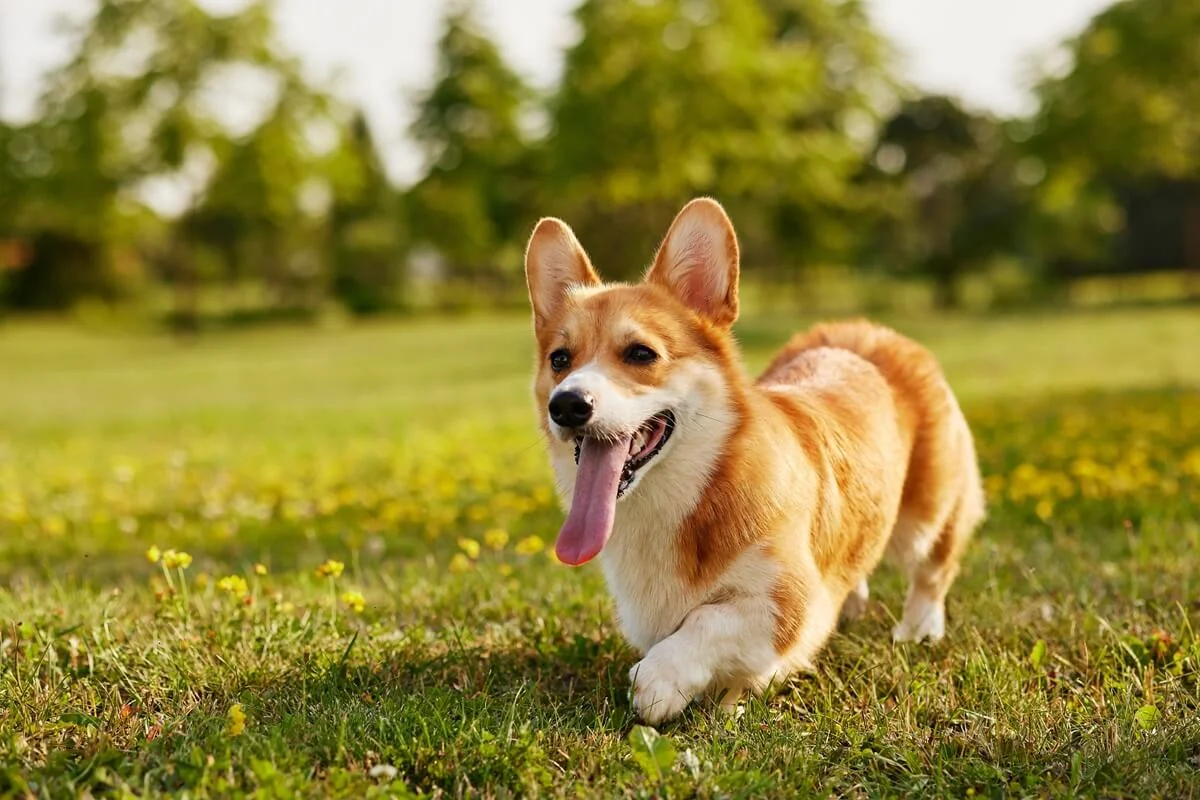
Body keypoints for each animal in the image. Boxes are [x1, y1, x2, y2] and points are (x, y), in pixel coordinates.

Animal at [523, 195, 984, 724]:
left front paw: (661, 680)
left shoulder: (787, 604)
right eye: (560, 359)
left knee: (933, 566)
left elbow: (709, 620)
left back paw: (919, 629)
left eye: (640, 353)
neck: (688, 497)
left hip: (928, 514)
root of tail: (871, 331)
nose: (566, 405)